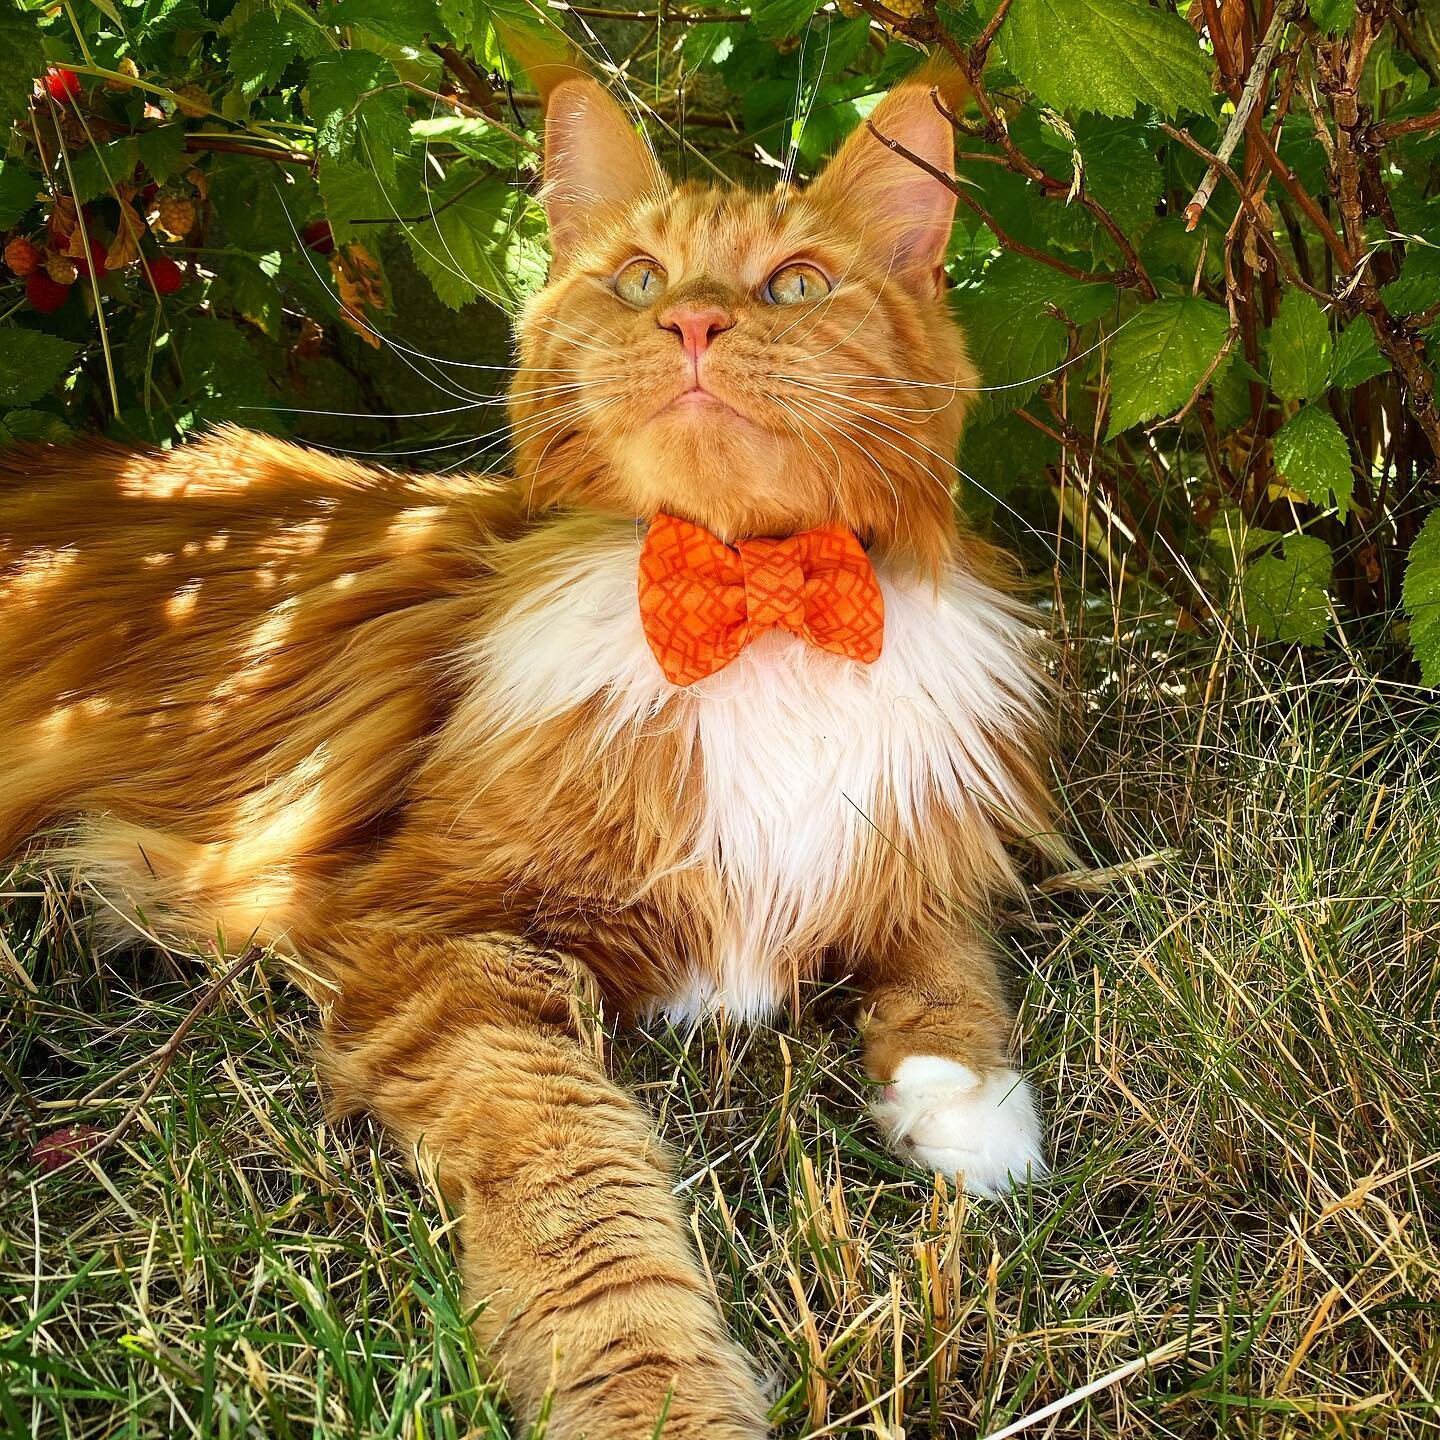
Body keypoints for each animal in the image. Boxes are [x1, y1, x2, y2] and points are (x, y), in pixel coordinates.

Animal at [0, 64, 1059, 1440]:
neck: (749, 607)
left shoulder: (908, 845)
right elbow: (589, 1210)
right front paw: (662, 1399)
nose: (695, 327)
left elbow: (947, 968)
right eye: (642, 282)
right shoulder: (446, 944)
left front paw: (971, 1113)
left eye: (792, 287)